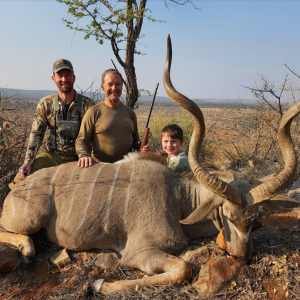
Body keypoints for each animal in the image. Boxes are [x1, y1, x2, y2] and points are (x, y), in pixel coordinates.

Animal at [0, 35, 300, 292]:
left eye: (255, 218)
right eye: (227, 215)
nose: (242, 257)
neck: (180, 199)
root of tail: (17, 188)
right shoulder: (139, 251)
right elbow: (183, 270)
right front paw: (99, 284)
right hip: (28, 219)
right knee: (21, 238)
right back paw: (27, 251)